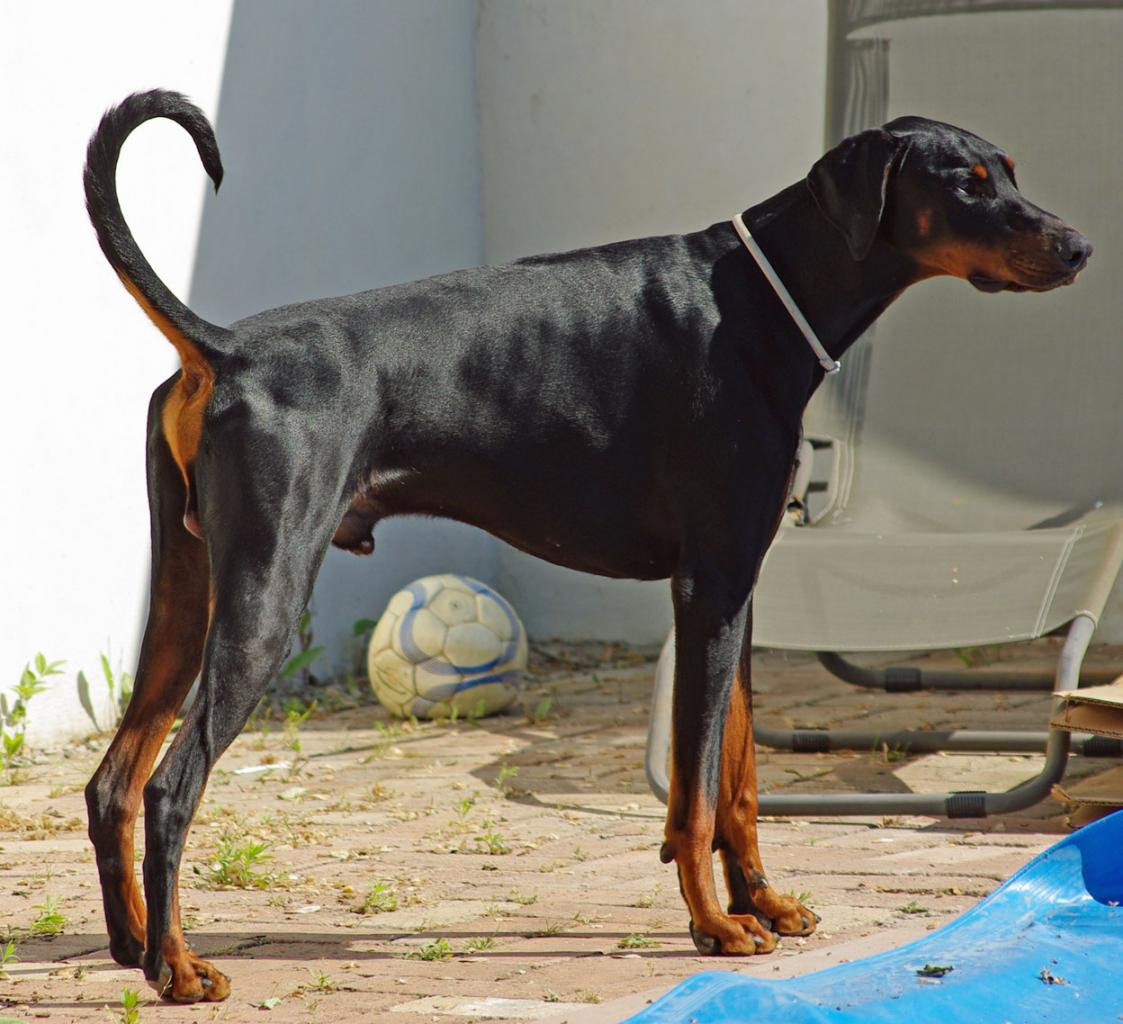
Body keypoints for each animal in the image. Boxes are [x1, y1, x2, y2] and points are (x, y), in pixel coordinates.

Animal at [85, 89, 1087, 1001]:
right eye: (964, 182)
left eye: (1007, 171)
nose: (1078, 246)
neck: (768, 297)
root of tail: (227, 349)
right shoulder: (707, 589)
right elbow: (692, 796)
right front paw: (716, 925)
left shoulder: (740, 592)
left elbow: (738, 777)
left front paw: (763, 903)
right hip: (264, 598)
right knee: (171, 786)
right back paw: (179, 969)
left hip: (183, 600)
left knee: (115, 783)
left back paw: (134, 948)